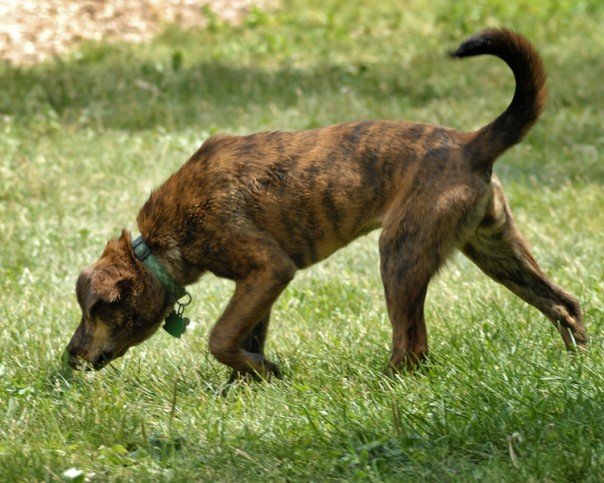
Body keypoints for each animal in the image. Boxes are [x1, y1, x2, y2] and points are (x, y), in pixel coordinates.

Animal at [65, 28, 584, 380]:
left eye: (96, 312)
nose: (69, 356)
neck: (158, 247)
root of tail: (469, 143)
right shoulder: (257, 285)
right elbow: (245, 337)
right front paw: (249, 382)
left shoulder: (268, 269)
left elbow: (219, 337)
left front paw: (262, 372)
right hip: (495, 248)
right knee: (564, 302)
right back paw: (578, 364)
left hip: (401, 254)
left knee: (412, 346)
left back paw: (379, 385)